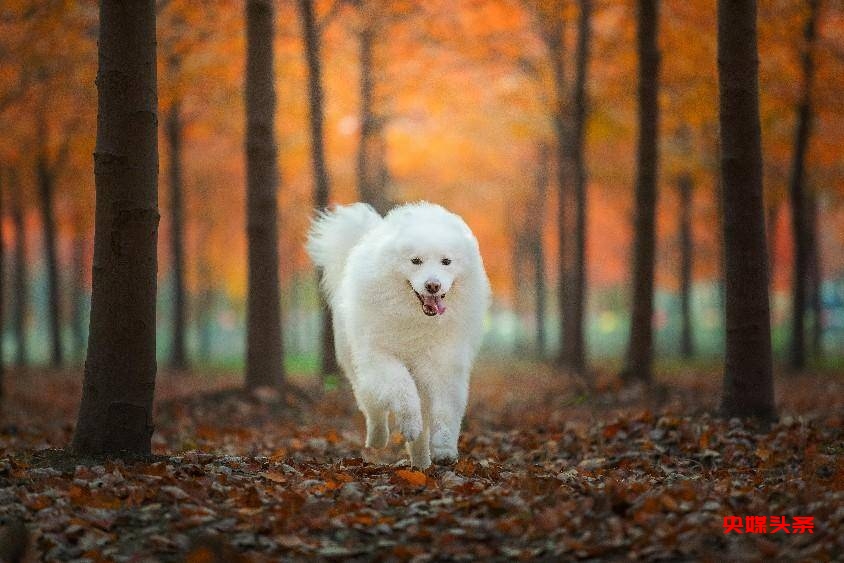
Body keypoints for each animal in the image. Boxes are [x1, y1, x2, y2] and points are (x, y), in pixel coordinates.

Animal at [304, 202, 488, 468]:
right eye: (416, 261)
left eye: (446, 261)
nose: (433, 285)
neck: (416, 319)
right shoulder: (380, 357)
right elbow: (402, 389)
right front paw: (409, 424)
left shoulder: (443, 364)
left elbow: (445, 412)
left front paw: (444, 449)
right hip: (359, 367)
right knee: (372, 408)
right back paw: (378, 438)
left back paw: (421, 463)